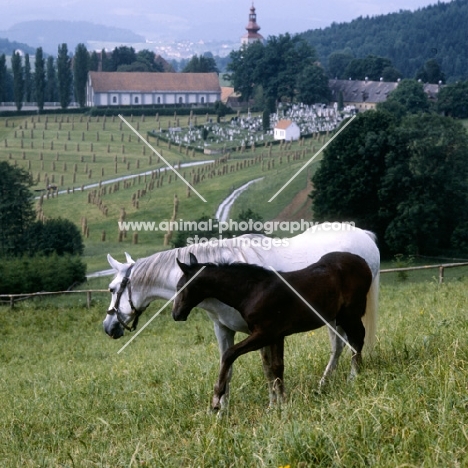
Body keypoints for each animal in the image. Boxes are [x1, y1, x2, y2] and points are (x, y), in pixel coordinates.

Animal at [104, 223, 378, 406]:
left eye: (112, 289)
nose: (108, 327)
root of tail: (364, 236)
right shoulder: (225, 328)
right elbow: (231, 364)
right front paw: (222, 409)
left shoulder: (261, 332)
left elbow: (266, 367)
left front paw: (273, 404)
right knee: (340, 345)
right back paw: (325, 384)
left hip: (346, 314)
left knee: (351, 341)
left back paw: (347, 378)